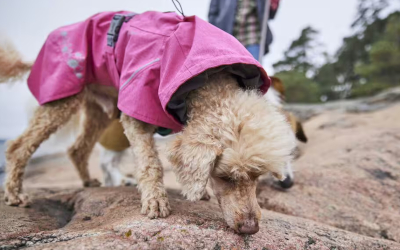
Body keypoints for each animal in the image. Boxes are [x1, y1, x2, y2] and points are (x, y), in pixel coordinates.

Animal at [0, 10, 294, 234]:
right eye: (225, 177)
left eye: (258, 175)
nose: (251, 228)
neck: (207, 80)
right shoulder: (135, 112)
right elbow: (150, 164)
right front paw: (156, 201)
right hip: (61, 99)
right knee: (18, 147)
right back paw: (14, 194)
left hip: (97, 110)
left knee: (77, 148)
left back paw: (88, 182)